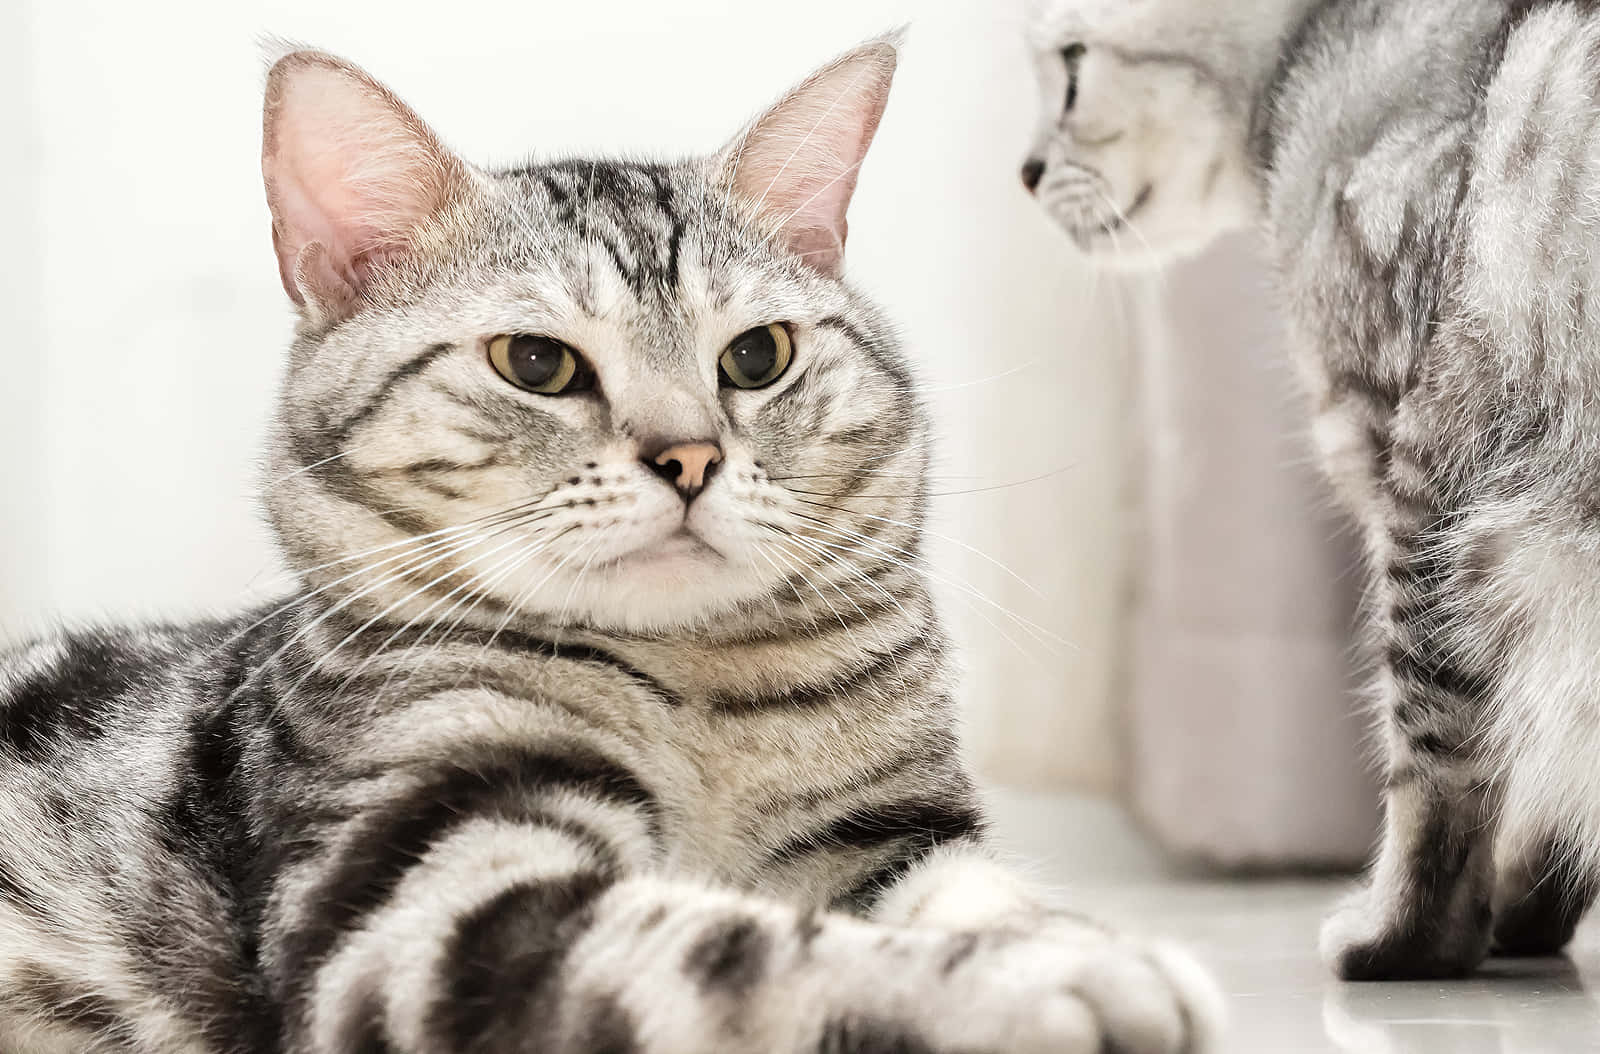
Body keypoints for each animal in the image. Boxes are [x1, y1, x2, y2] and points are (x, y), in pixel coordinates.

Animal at [0, 32, 1216, 1054]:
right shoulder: (416, 898)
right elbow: (734, 950)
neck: (704, 704)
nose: (689, 458)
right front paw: (1063, 983)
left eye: (758, 356)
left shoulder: (893, 831)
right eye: (535, 363)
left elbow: (986, 899)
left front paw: (1060, 942)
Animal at [1024, 0, 1600, 978]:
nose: (1023, 172)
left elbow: (1434, 766)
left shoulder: (1422, 473)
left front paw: (1409, 935)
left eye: (1070, 63)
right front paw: (1527, 905)